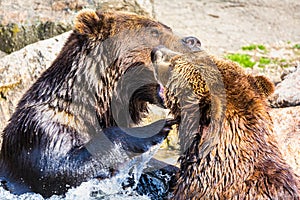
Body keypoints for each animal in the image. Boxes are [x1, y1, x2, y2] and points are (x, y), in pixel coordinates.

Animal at [0, 9, 202, 197]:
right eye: (154, 31)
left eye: (168, 27)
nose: (194, 41)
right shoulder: (40, 132)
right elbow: (59, 170)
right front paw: (154, 128)